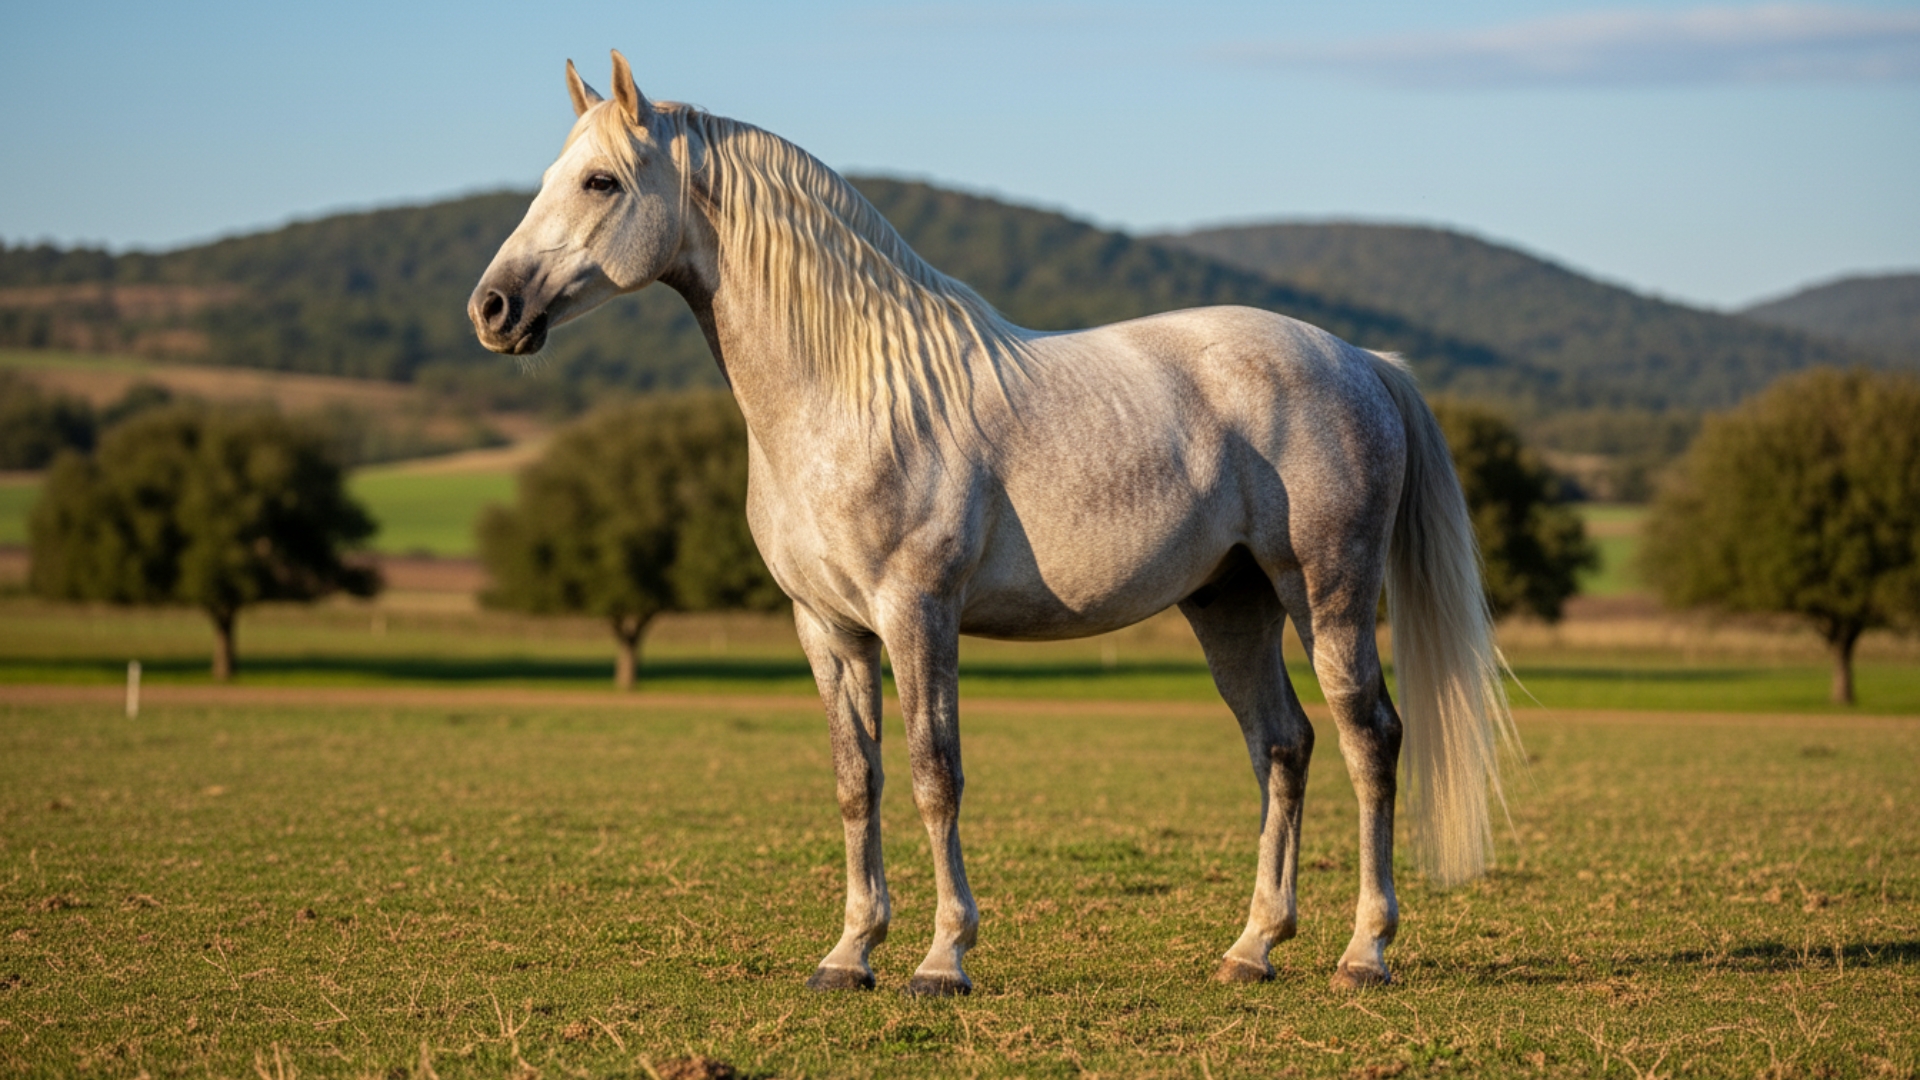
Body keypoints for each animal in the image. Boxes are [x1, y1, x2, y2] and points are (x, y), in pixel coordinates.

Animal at [470, 50, 1514, 997]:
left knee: (1370, 738)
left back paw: (1364, 953)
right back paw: (1252, 949)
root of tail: (1360, 359)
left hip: (1327, 591)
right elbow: (857, 780)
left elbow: (935, 773)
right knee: (1283, 745)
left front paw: (942, 960)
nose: (493, 307)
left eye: (601, 181)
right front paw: (848, 956)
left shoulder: (917, 613)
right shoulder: (829, 627)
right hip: (1230, 602)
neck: (851, 393)